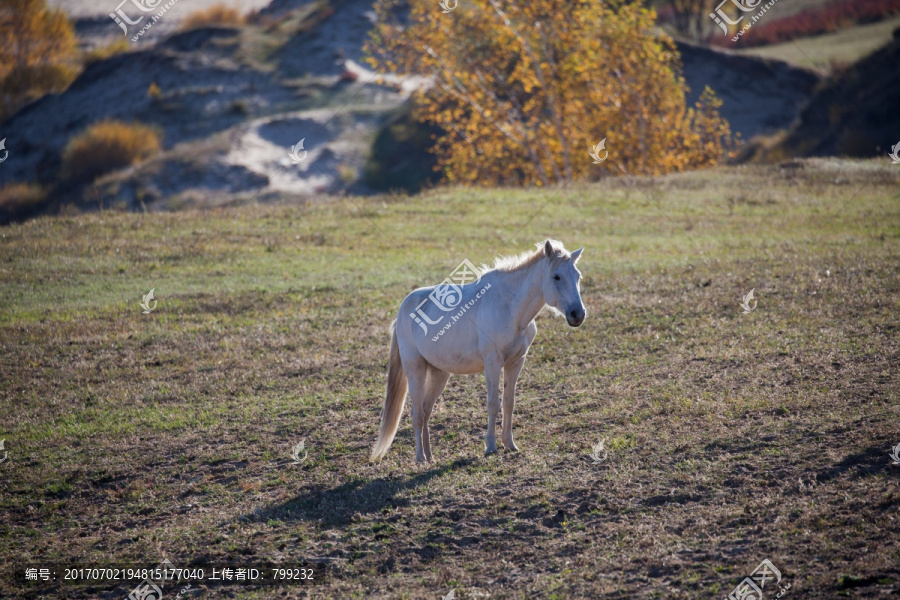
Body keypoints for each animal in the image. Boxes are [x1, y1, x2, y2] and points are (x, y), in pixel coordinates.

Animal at [370, 239, 588, 464]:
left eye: (578, 276)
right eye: (556, 276)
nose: (577, 314)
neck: (510, 308)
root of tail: (403, 310)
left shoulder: (516, 362)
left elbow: (508, 402)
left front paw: (509, 444)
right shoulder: (493, 362)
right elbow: (493, 404)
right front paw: (490, 446)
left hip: (439, 374)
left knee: (426, 410)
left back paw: (430, 457)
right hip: (415, 372)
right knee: (416, 414)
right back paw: (420, 458)